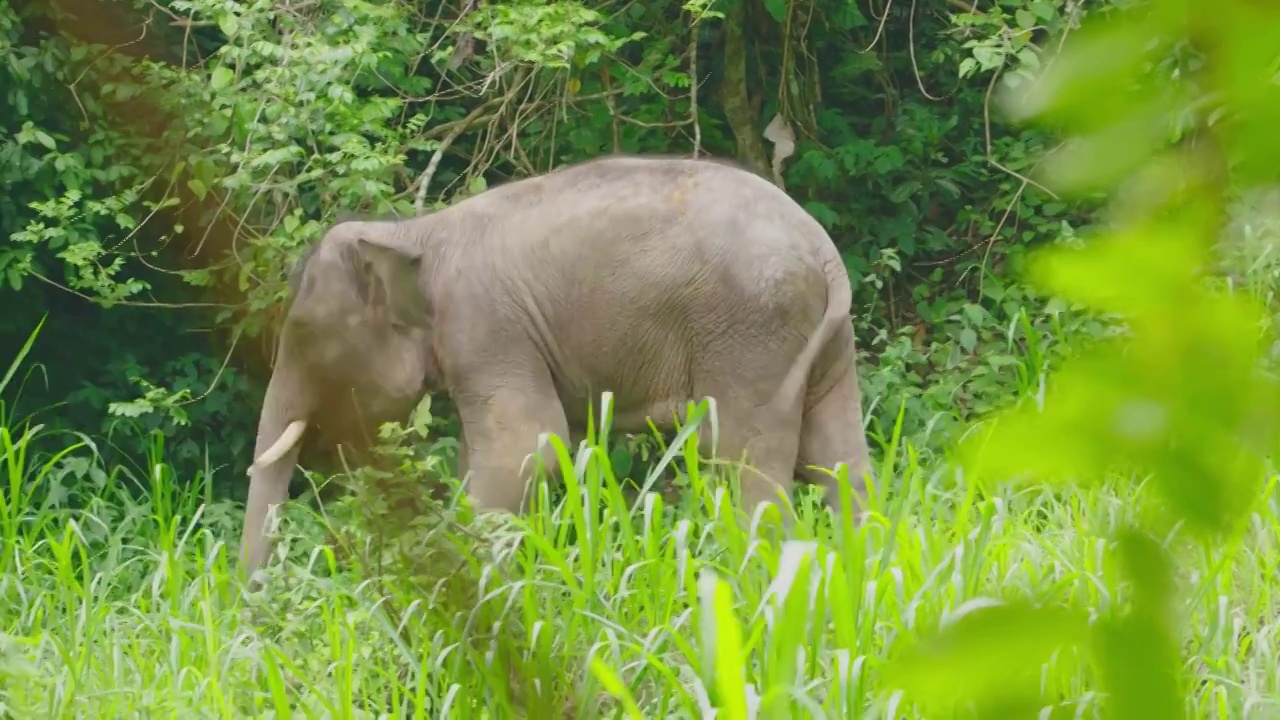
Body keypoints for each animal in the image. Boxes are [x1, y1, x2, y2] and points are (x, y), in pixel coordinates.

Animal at [240, 155, 870, 584]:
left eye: (303, 337)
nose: (255, 607)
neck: (412, 231)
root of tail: (826, 255)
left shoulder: (485, 327)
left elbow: (527, 448)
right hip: (820, 348)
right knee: (838, 462)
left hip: (751, 336)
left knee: (746, 463)